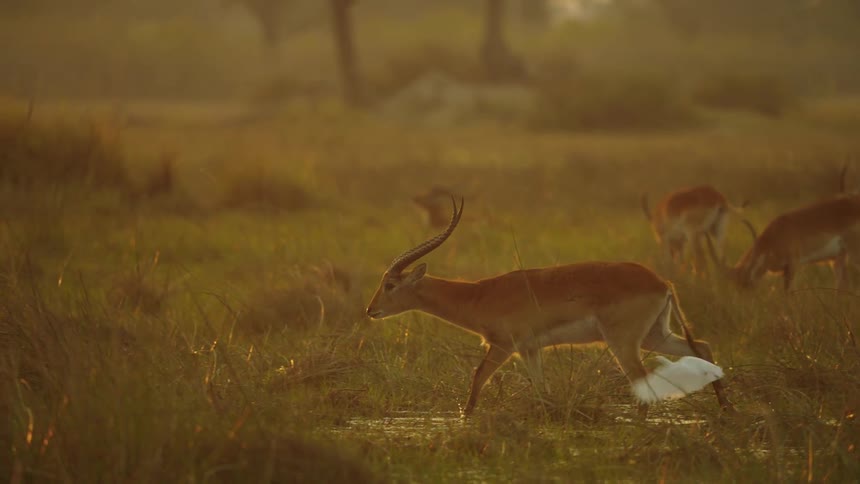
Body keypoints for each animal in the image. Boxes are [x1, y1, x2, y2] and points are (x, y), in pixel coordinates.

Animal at [366, 198, 730, 415]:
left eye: (390, 285)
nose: (371, 311)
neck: (480, 295)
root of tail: (661, 282)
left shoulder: (504, 345)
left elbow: (478, 377)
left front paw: (464, 418)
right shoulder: (530, 349)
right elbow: (541, 388)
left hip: (623, 341)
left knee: (641, 376)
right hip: (656, 334)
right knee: (703, 346)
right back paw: (725, 409)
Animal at [706, 193, 860, 291]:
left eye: (747, 282)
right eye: (736, 286)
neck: (775, 236)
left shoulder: (793, 265)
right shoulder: (785, 270)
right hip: (838, 258)